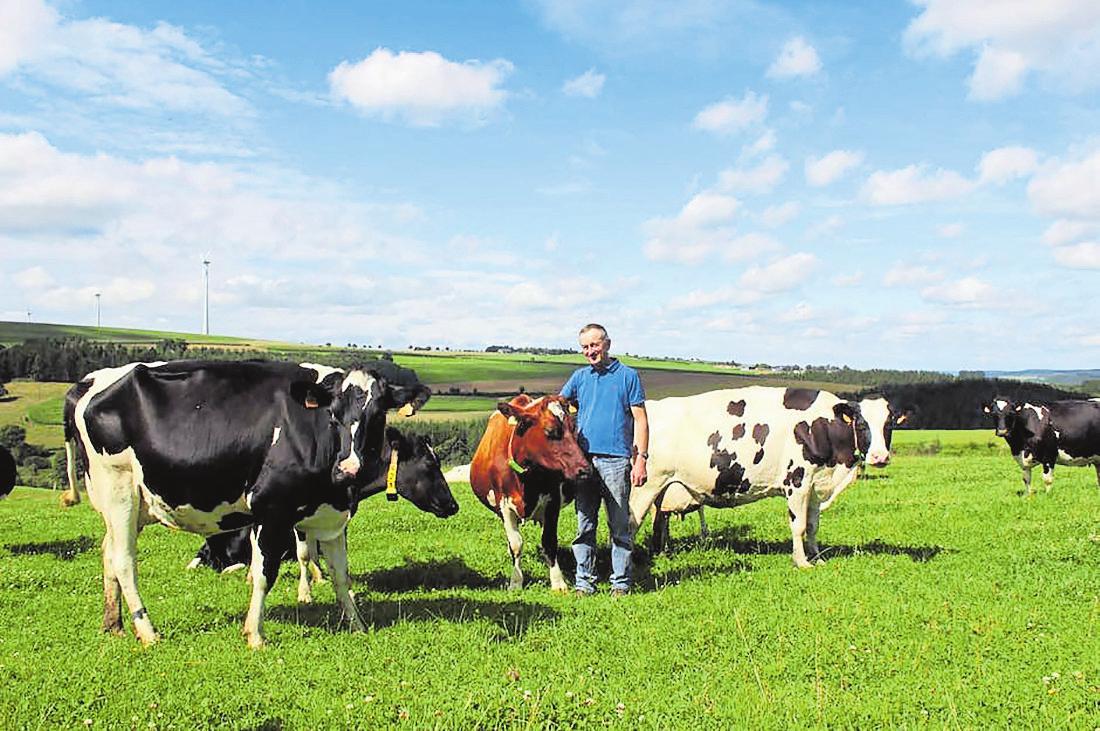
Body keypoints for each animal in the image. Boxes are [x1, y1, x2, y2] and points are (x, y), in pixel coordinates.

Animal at [470, 395, 594, 589]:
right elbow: (515, 544)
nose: (585, 469)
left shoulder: (552, 501)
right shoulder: (504, 504)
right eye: (551, 431)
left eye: (573, 428)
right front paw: (515, 581)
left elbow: (549, 542)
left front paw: (558, 582)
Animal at [646, 395, 915, 549]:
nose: (880, 457)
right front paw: (802, 561)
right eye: (861, 424)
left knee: (659, 524)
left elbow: (813, 526)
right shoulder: (796, 482)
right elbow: (799, 525)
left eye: (889, 424)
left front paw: (816, 556)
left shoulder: (815, 486)